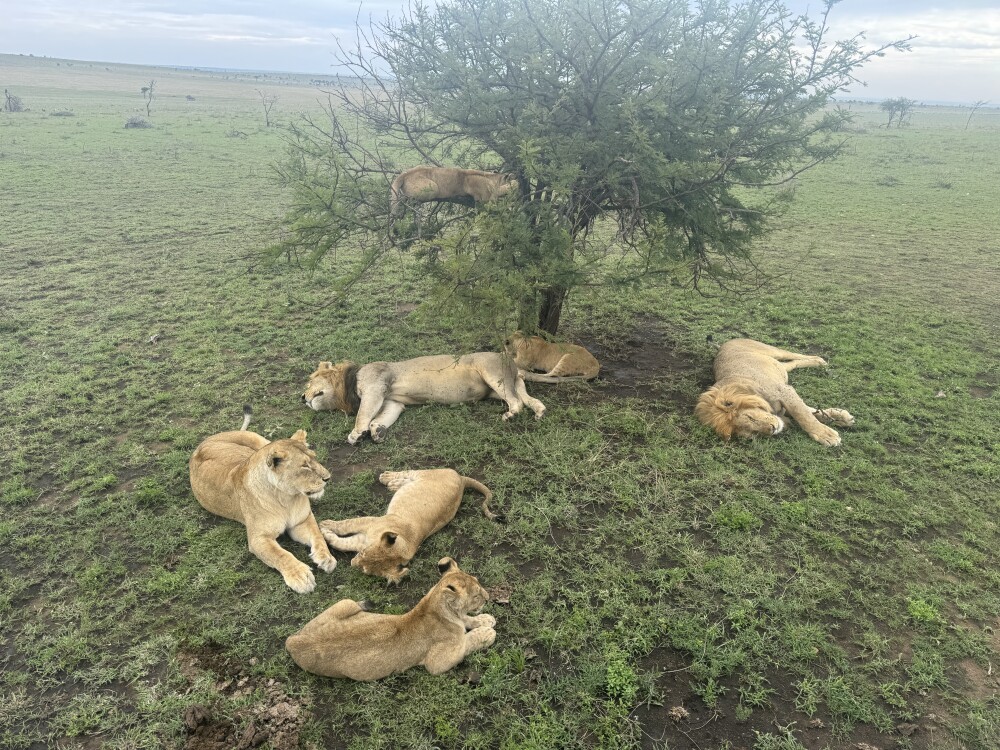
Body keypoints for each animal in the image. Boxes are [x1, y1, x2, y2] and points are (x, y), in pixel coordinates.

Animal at [189, 406, 337, 593]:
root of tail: (204, 441)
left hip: (259, 441)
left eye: (315, 458)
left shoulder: (301, 521)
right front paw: (300, 576)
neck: (286, 498)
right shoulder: (258, 539)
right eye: (304, 465)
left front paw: (326, 557)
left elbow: (317, 535)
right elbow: (281, 555)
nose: (328, 478)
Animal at [285, 557, 495, 680]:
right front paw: (487, 633)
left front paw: (486, 620)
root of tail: (293, 641)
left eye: (479, 584)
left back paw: (366, 604)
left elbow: (467, 620)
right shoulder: (437, 663)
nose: (488, 598)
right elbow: (466, 642)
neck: (435, 606)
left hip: (344, 602)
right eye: (476, 595)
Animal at [302, 354, 546, 444]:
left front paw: (356, 433)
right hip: (504, 385)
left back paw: (511, 415)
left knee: (517, 401)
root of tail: (511, 362)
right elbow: (380, 417)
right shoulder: (391, 401)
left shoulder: (375, 387)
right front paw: (377, 430)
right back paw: (540, 411)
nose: (302, 397)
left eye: (309, 382)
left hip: (492, 373)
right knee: (524, 395)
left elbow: (363, 414)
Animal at [320, 469, 500, 584]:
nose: (352, 563)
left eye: (365, 570)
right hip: (426, 473)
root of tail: (462, 480)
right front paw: (325, 524)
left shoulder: (361, 538)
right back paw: (388, 478)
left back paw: (393, 484)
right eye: (363, 553)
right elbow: (346, 525)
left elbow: (342, 543)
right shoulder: (371, 522)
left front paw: (326, 532)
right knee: (408, 472)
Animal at [694, 339, 855, 446]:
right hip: (777, 365)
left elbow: (804, 415)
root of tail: (724, 344)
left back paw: (820, 361)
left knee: (795, 355)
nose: (772, 429)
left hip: (773, 351)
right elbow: (810, 411)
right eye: (751, 434)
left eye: (750, 417)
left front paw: (827, 434)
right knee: (790, 364)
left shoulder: (784, 391)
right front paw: (838, 417)